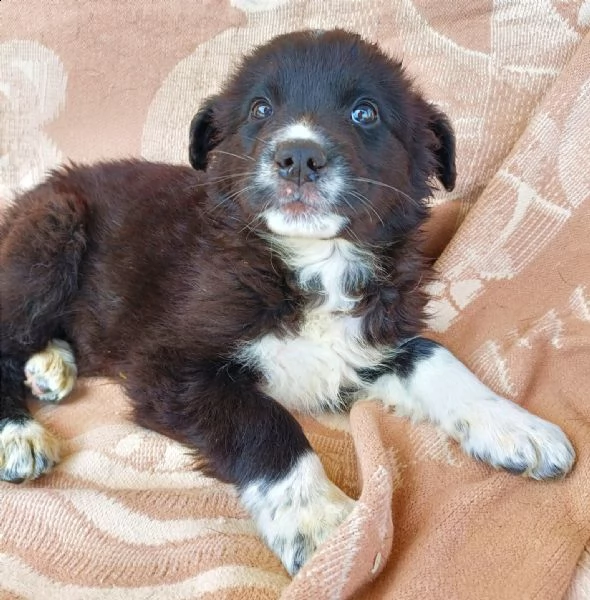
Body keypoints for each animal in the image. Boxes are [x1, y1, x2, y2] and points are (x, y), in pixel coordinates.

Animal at [0, 29, 575, 575]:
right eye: (260, 109)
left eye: (364, 112)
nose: (298, 156)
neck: (314, 263)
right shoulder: (168, 367)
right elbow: (266, 423)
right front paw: (321, 524)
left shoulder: (370, 338)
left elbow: (435, 356)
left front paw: (517, 427)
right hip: (52, 230)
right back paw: (20, 435)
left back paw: (51, 365)